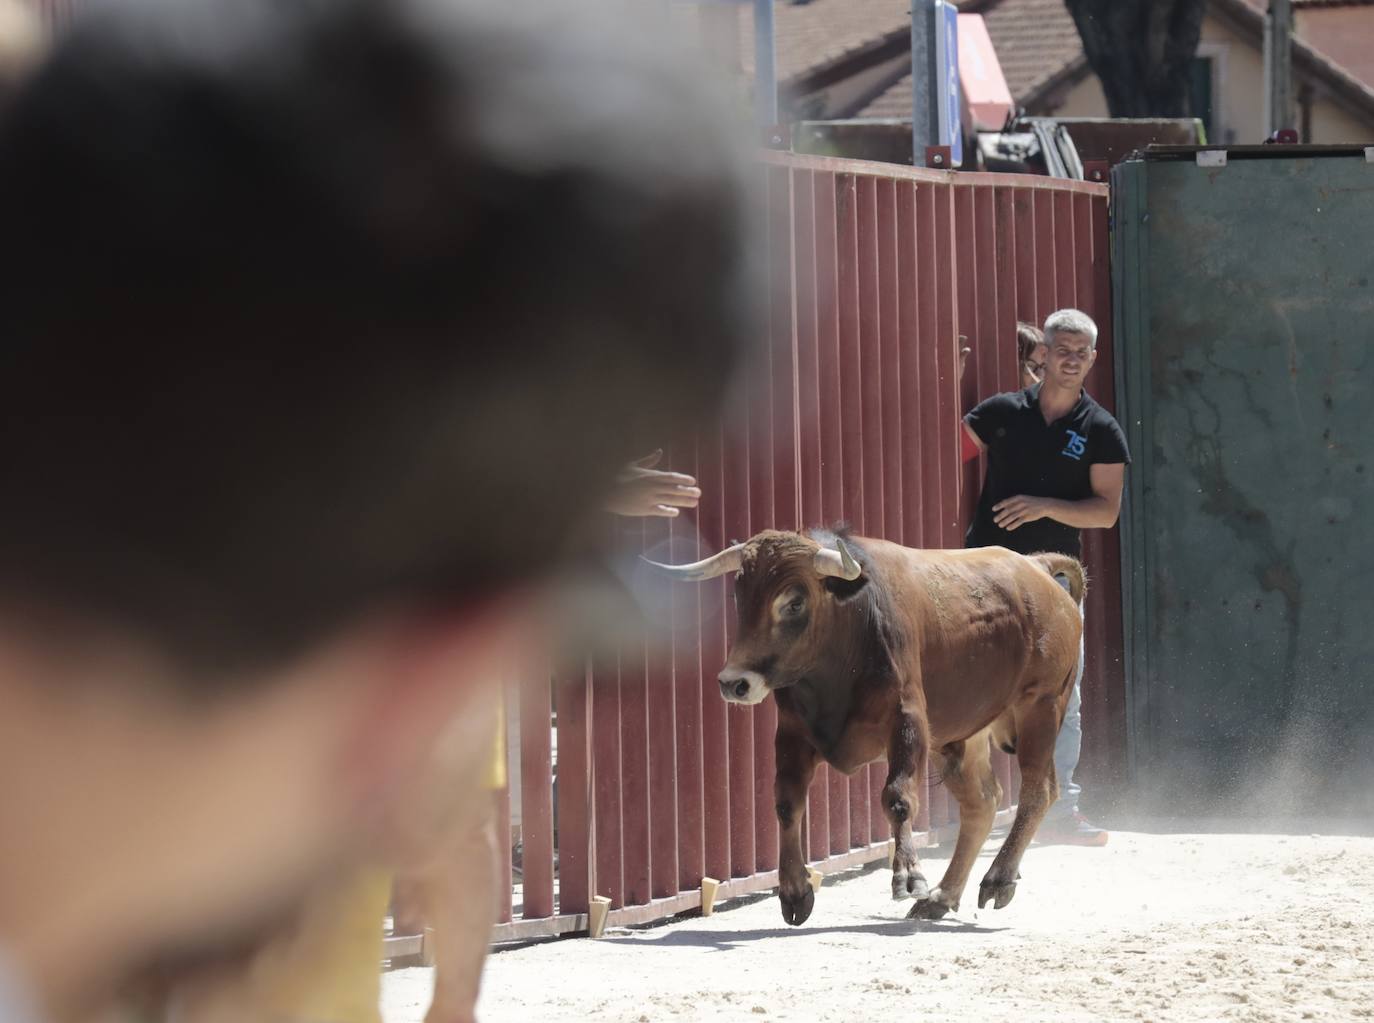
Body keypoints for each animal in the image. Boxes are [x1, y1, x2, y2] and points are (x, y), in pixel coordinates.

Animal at [651, 530, 1082, 922]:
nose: (734, 682)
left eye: (794, 602)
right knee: (982, 803)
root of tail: (1037, 568)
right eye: (741, 598)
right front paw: (794, 891)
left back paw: (997, 879)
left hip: (1041, 707)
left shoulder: (908, 724)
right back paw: (942, 897)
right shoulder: (792, 733)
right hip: (964, 734)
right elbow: (787, 803)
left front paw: (909, 877)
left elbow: (897, 797)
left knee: (1038, 791)